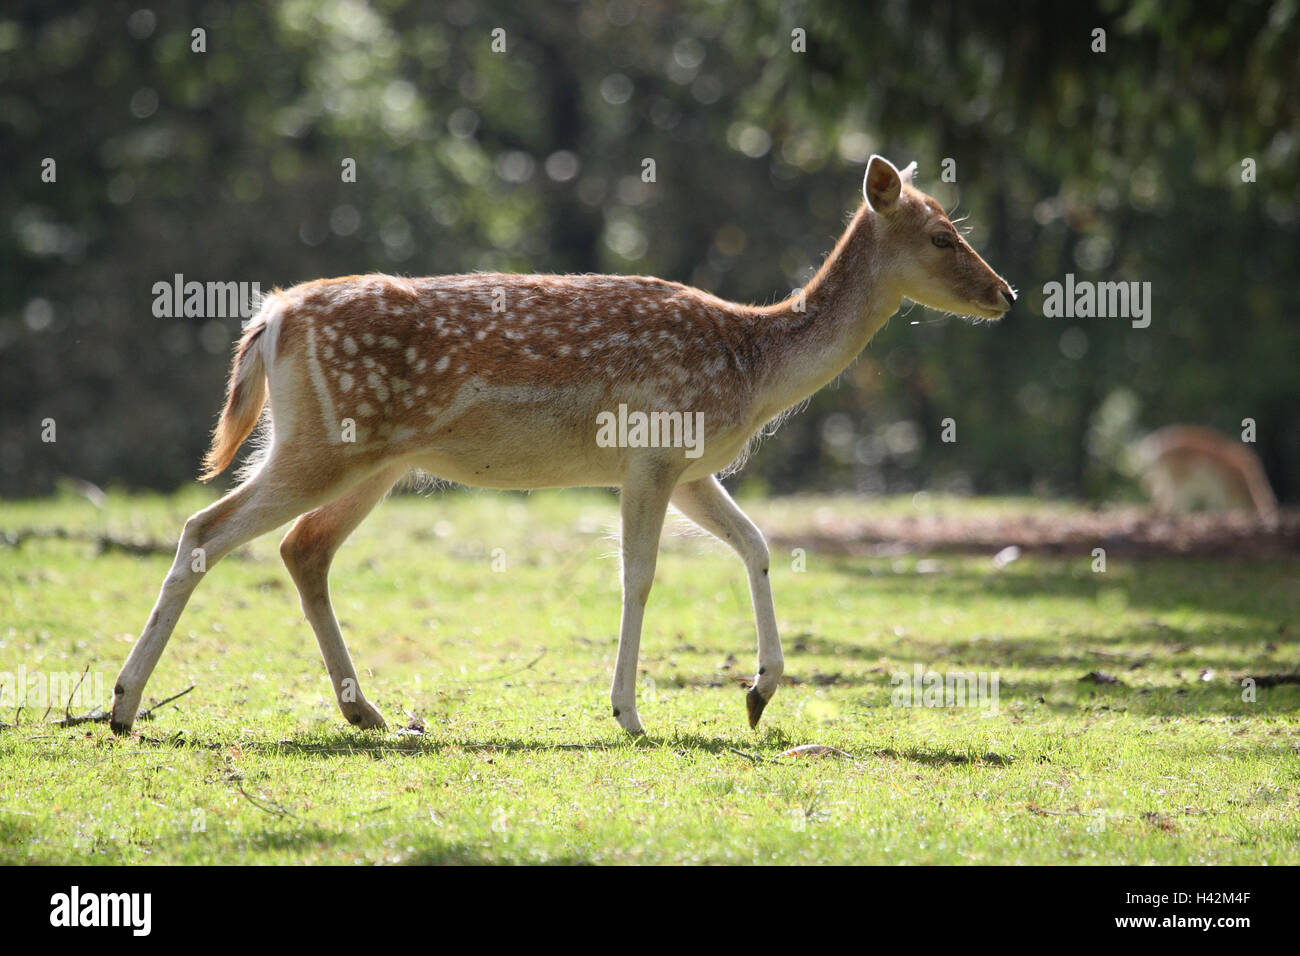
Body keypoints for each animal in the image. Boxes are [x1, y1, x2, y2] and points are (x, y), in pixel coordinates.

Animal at [111, 158, 1013, 738]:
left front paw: (758, 695)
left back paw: (366, 711)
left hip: (373, 459)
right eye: (941, 236)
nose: (1004, 292)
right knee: (205, 529)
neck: (750, 366)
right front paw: (630, 714)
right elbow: (639, 575)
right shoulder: (652, 450)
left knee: (303, 549)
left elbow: (757, 546)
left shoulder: (691, 467)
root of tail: (269, 317)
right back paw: (122, 707)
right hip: (327, 442)